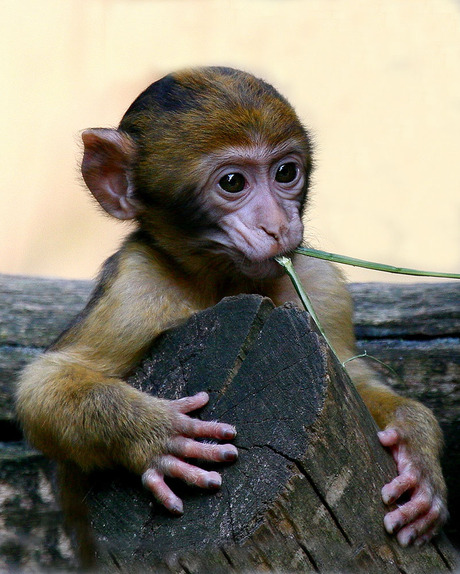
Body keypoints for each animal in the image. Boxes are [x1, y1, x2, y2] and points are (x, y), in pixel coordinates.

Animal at [17, 67, 446, 548]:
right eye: (232, 183)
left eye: (286, 172)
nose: (278, 226)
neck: (224, 281)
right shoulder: (135, 288)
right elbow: (45, 385)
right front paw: (158, 434)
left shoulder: (320, 284)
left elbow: (356, 378)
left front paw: (416, 445)